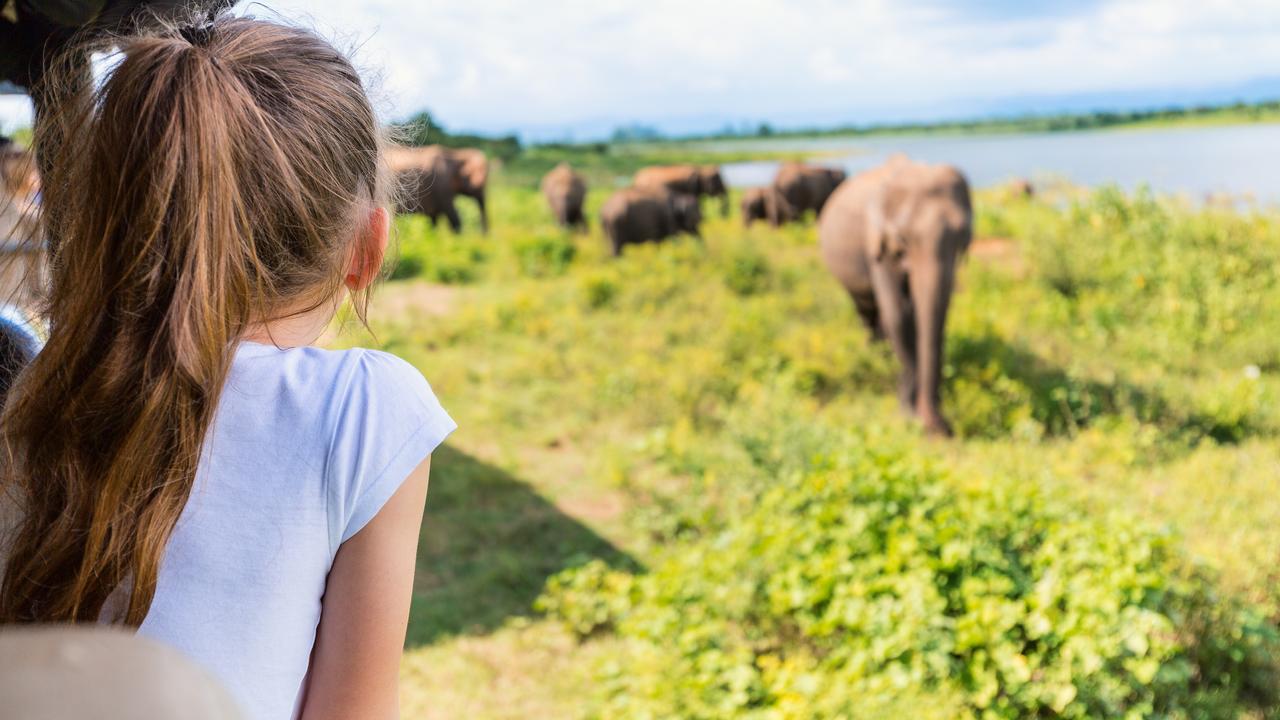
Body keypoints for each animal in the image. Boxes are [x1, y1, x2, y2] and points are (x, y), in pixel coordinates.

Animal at [817, 155, 972, 437]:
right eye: (902, 238)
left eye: (963, 235)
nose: (941, 429)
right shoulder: (876, 244)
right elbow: (899, 314)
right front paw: (908, 415)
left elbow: (932, 317)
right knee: (867, 309)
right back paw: (876, 353)